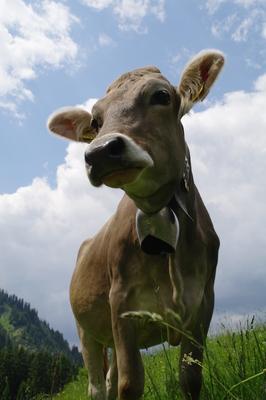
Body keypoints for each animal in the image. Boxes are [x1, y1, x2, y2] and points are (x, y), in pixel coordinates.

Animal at [47, 50, 224, 400]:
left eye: (161, 96)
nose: (101, 152)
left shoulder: (203, 306)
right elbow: (130, 385)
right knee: (98, 386)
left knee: (111, 376)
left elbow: (190, 378)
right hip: (86, 331)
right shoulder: (122, 306)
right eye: (96, 121)